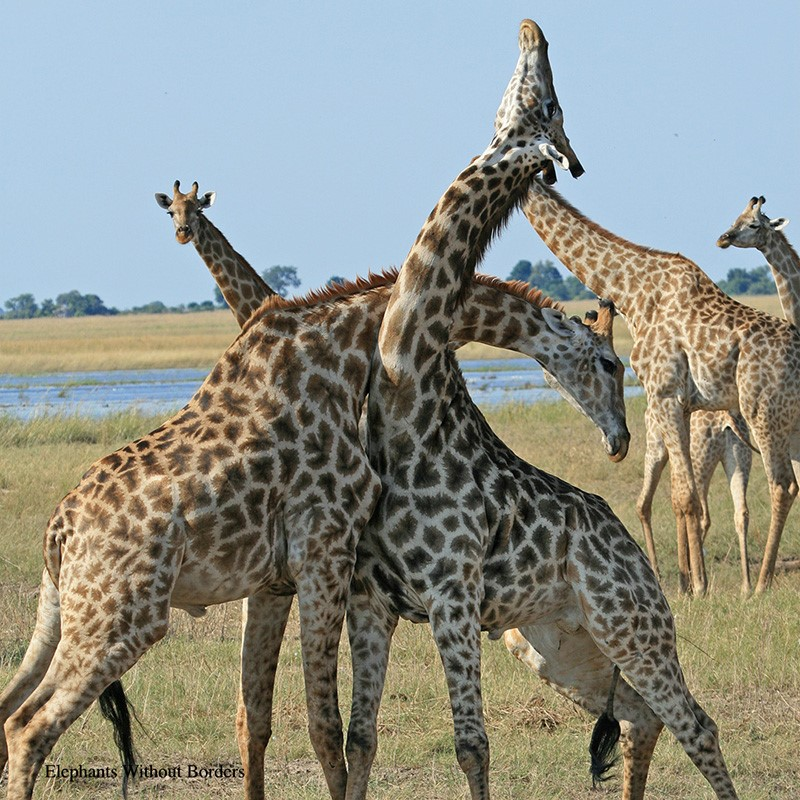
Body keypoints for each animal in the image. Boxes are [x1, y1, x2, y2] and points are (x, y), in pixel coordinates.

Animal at [0, 271, 629, 800]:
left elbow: (254, 719)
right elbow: (326, 728)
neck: (348, 346)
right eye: (609, 362)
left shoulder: (272, 582)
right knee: (30, 727)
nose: (619, 439)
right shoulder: (325, 552)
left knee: (10, 709)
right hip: (124, 620)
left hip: (66, 615)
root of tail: (57, 531)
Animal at [344, 19, 737, 800]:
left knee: (696, 723)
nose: (533, 28)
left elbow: (472, 746)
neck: (405, 399)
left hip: (631, 625)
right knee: (642, 718)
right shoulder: (375, 602)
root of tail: (630, 552)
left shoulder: (452, 594)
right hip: (557, 643)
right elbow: (358, 739)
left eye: (551, 104)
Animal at [522, 177, 800, 596]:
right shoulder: (682, 404)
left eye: (754, 223)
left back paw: (761, 584)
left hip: (763, 412)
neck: (635, 292)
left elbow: (686, 498)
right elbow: (683, 497)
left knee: (782, 487)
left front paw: (698, 587)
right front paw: (693, 583)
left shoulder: (665, 394)